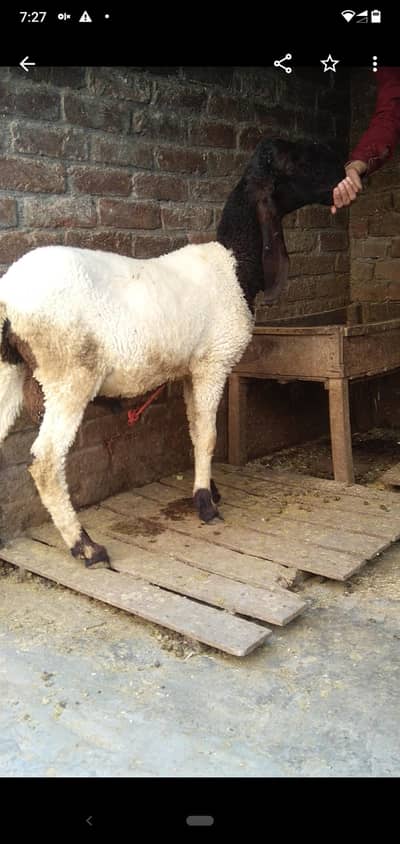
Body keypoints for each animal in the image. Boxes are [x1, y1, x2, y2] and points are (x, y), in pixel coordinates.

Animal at [0, 136, 343, 568]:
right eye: (296, 160)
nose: (344, 174)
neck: (235, 263)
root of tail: (9, 295)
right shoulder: (214, 362)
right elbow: (210, 434)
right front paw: (206, 505)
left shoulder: (189, 370)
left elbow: (195, 431)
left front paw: (208, 488)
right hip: (69, 376)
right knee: (46, 461)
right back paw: (86, 546)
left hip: (8, 369)